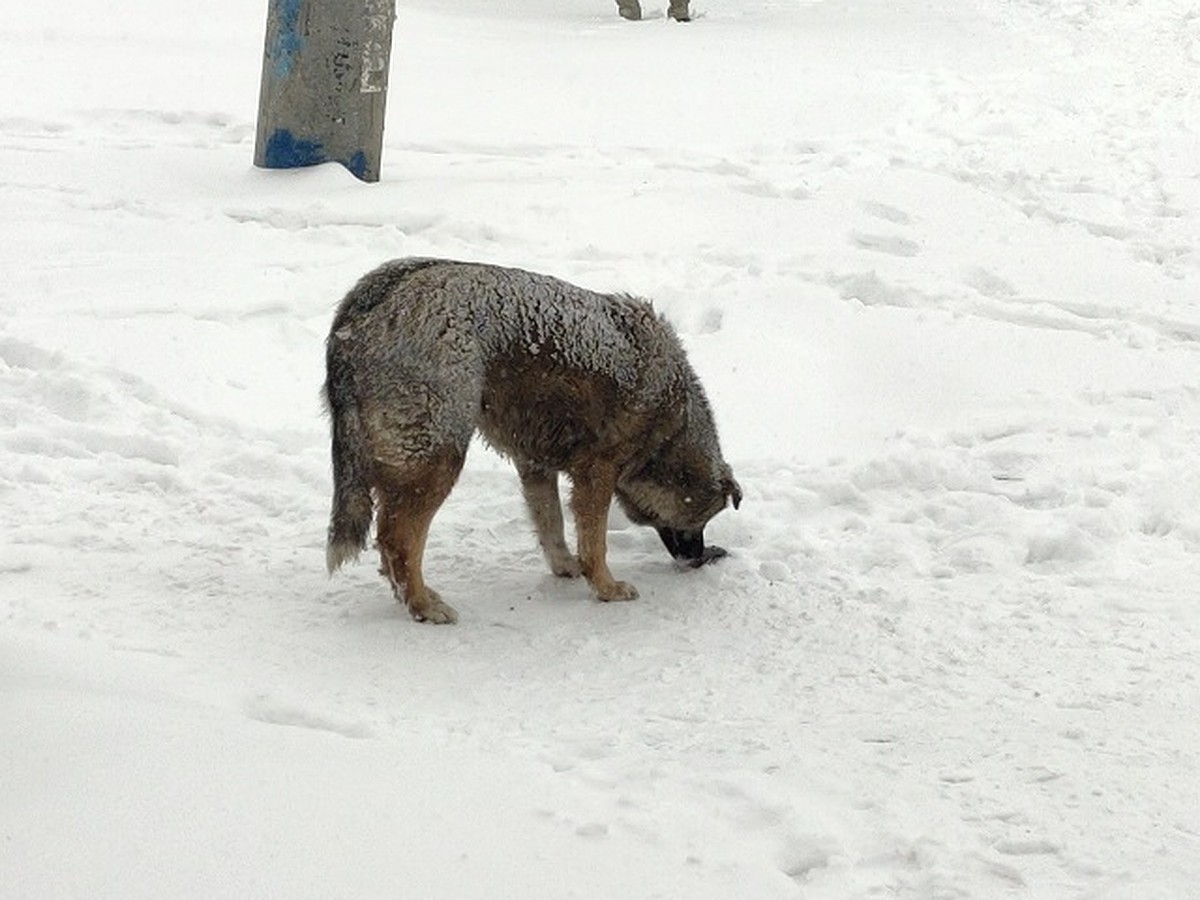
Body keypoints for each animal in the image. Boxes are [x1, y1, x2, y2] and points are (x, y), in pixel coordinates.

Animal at [328, 260, 739, 624]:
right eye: (700, 520)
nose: (697, 557)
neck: (671, 424)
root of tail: (358, 311)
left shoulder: (535, 467)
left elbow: (551, 525)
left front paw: (566, 567)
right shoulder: (596, 475)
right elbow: (595, 544)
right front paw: (605, 588)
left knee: (389, 542)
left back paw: (411, 597)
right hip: (438, 462)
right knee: (397, 541)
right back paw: (422, 606)